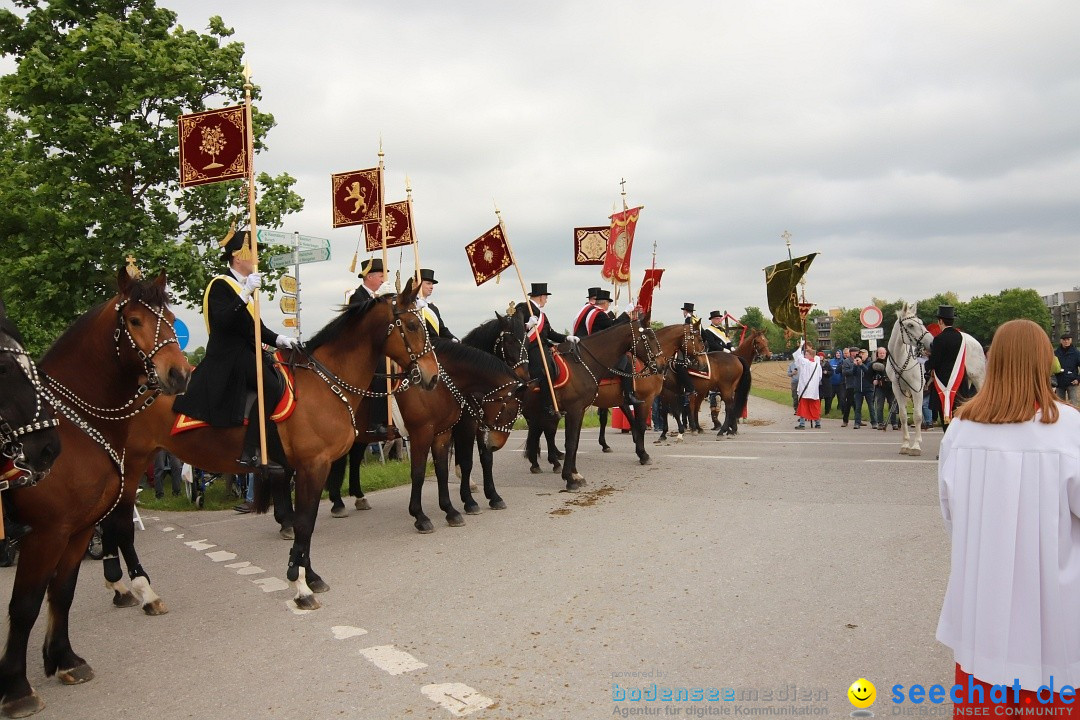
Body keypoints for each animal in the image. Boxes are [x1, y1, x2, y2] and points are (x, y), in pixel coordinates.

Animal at [0, 267, 190, 716]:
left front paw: (64, 659)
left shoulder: (79, 529)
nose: (179, 374)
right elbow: (25, 605)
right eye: (135, 321)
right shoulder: (45, 534)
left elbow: (62, 592)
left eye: (173, 319)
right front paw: (16, 688)